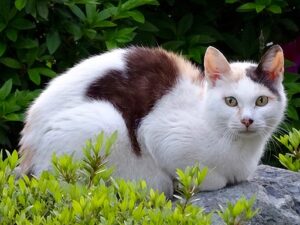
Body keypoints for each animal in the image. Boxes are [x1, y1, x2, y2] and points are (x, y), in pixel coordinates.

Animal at [18, 45, 286, 197]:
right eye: (231, 101)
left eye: (261, 101)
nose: (247, 120)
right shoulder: (159, 135)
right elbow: (209, 178)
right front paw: (184, 183)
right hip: (104, 122)